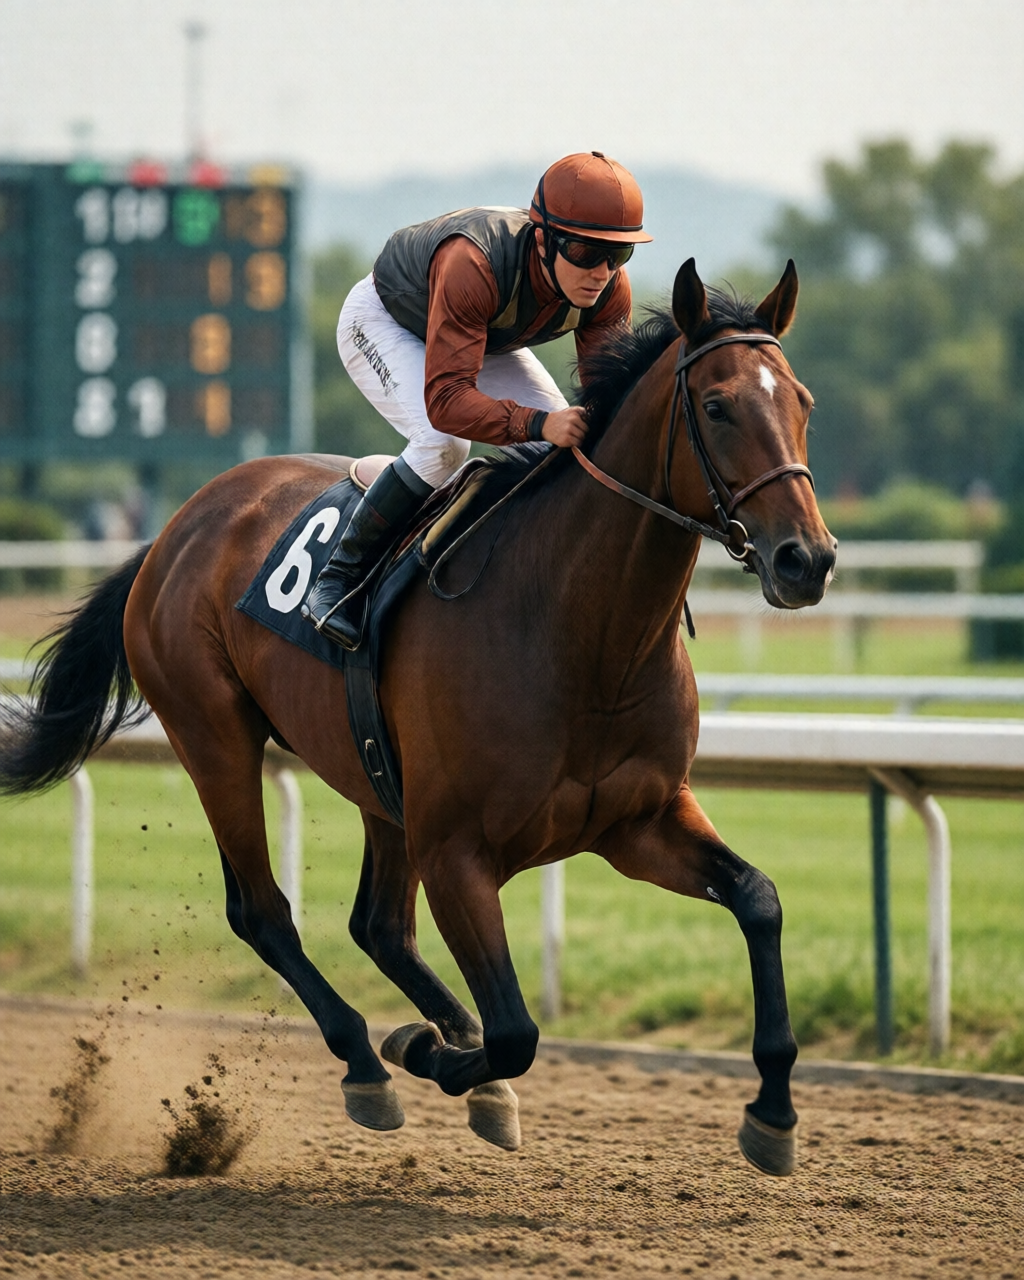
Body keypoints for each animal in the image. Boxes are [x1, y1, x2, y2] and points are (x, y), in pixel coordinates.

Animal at [1, 258, 836, 1177]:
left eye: (802, 401)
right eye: (718, 406)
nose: (808, 560)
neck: (582, 632)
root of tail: (174, 529)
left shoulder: (637, 822)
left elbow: (758, 900)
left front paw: (774, 1112)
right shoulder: (457, 850)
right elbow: (515, 1031)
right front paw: (428, 1051)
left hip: (375, 778)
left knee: (378, 927)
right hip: (215, 737)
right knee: (264, 911)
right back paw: (368, 1061)